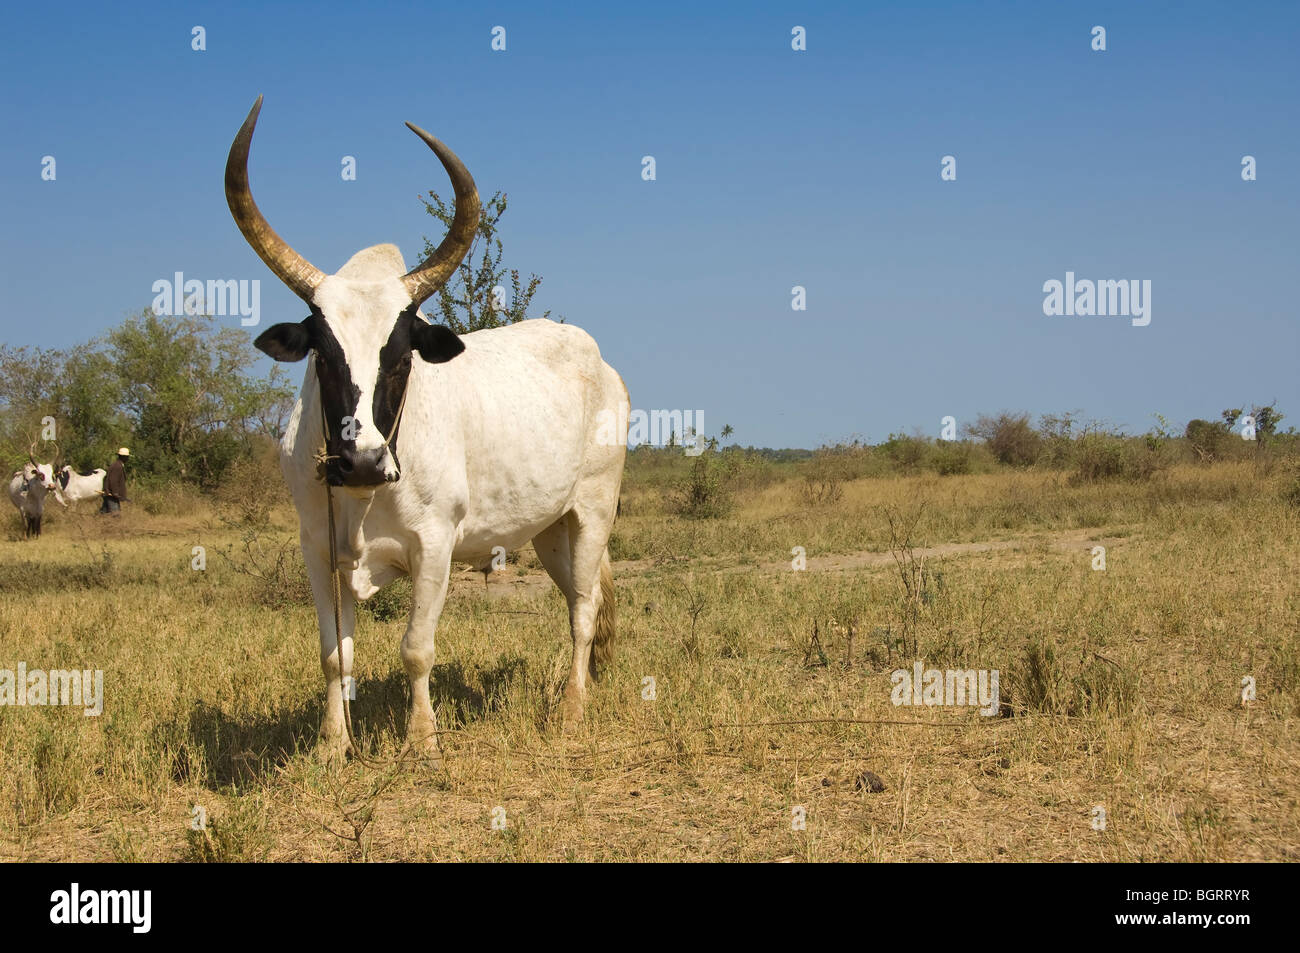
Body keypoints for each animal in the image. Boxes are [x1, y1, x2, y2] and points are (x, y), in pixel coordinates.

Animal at [224, 100, 629, 764]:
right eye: (323, 354)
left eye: (400, 355)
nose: (361, 461)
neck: (367, 494)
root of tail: (602, 365)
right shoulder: (316, 547)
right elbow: (333, 655)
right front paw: (331, 745)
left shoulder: (435, 545)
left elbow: (416, 649)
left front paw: (423, 740)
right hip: (549, 526)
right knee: (578, 593)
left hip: (593, 508)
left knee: (585, 609)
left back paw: (572, 708)